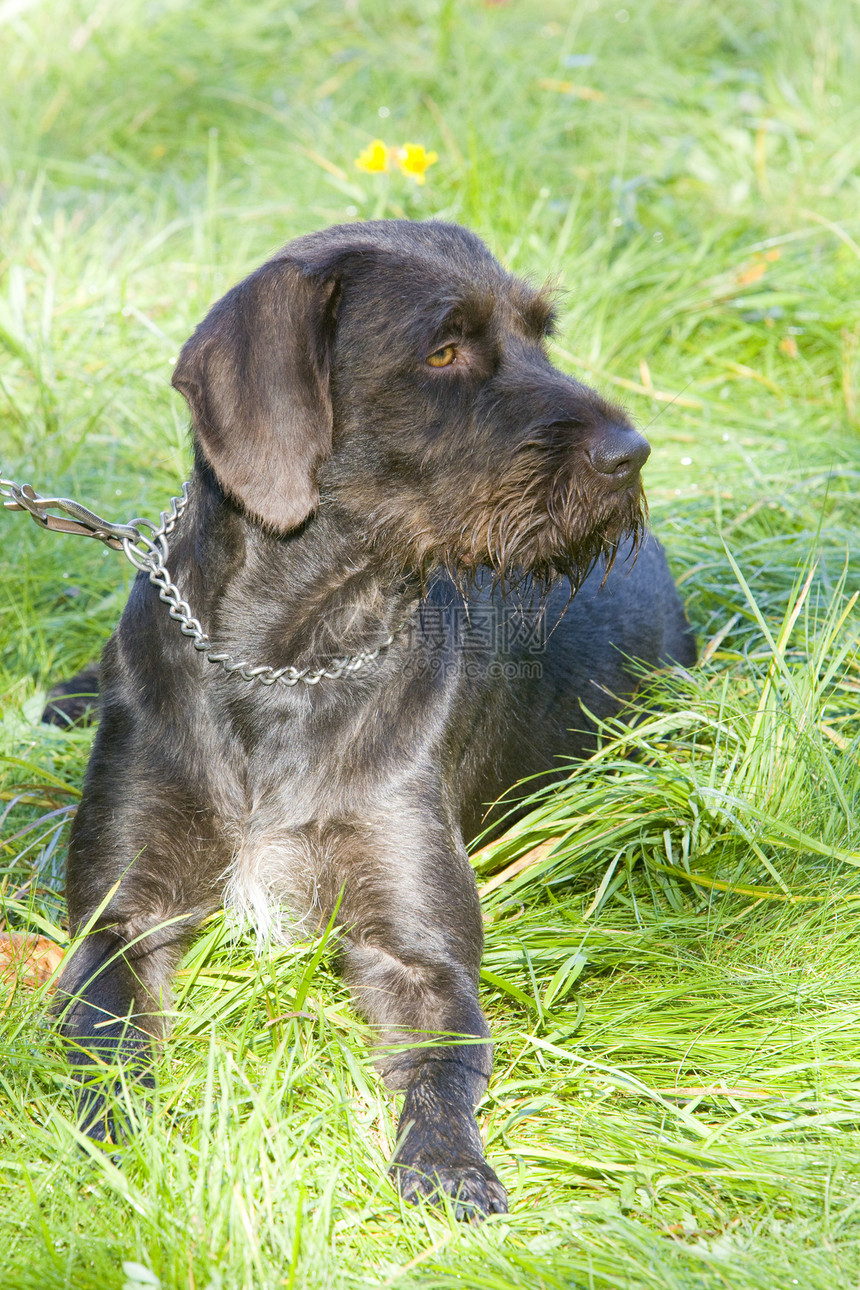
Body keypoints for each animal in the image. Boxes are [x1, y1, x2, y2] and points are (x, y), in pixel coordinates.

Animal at [57, 221, 696, 1217]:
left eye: (540, 333)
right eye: (442, 350)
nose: (631, 454)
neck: (289, 652)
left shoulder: (416, 952)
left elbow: (442, 1067)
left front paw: (449, 1166)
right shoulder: (119, 920)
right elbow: (110, 1048)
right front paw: (116, 1149)